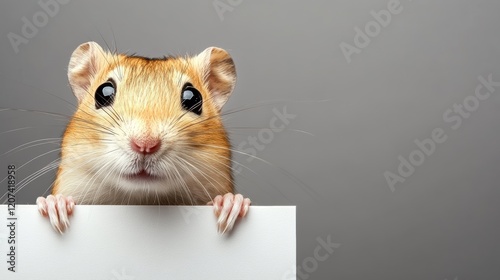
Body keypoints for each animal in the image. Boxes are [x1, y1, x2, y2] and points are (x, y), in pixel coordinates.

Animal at [36, 41, 250, 234]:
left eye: (193, 97)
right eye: (103, 93)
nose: (145, 145)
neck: (141, 199)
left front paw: (230, 203)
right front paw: (55, 204)